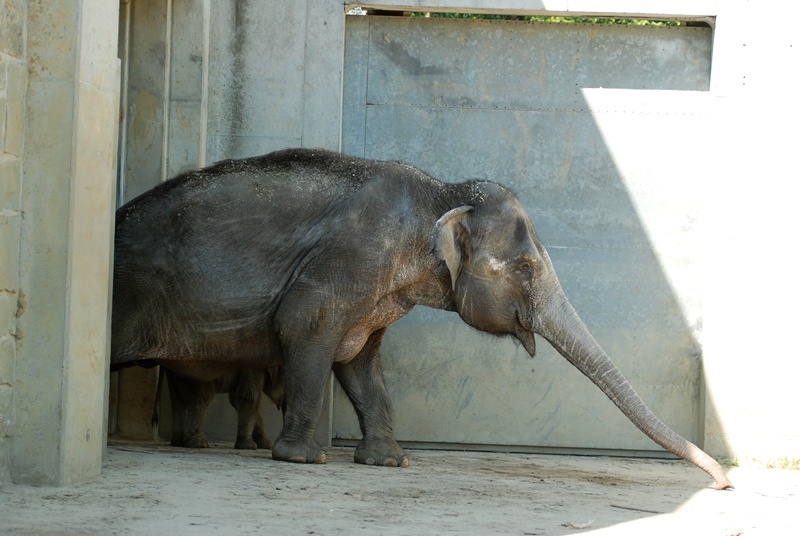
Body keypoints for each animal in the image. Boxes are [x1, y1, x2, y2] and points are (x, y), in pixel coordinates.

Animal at [154, 366, 284, 450]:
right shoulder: (253, 368)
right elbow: (249, 398)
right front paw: (250, 447)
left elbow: (235, 400)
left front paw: (267, 446)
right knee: (201, 397)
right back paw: (199, 445)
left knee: (177, 399)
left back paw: (178, 442)